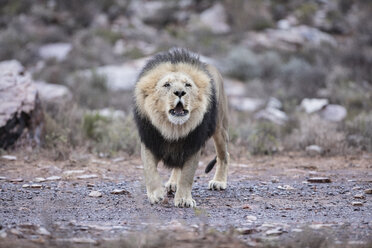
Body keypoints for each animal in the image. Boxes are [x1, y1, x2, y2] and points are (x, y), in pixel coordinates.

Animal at [134, 48, 230, 207]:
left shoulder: (193, 145)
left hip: (219, 128)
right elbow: (150, 170)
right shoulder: (149, 140)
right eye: (167, 85)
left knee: (224, 155)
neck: (173, 128)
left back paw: (219, 182)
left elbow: (187, 175)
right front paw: (156, 194)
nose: (179, 92)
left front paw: (184, 199)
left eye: (188, 85)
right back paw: (173, 183)